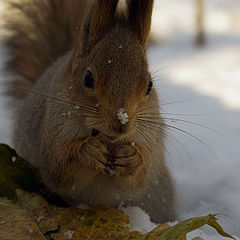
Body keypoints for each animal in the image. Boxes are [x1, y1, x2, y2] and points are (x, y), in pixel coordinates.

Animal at [3, 0, 176, 223]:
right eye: (88, 78)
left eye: (149, 86)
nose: (121, 123)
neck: (106, 138)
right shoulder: (53, 131)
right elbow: (60, 170)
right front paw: (87, 151)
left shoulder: (149, 137)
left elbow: (138, 179)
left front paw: (132, 158)